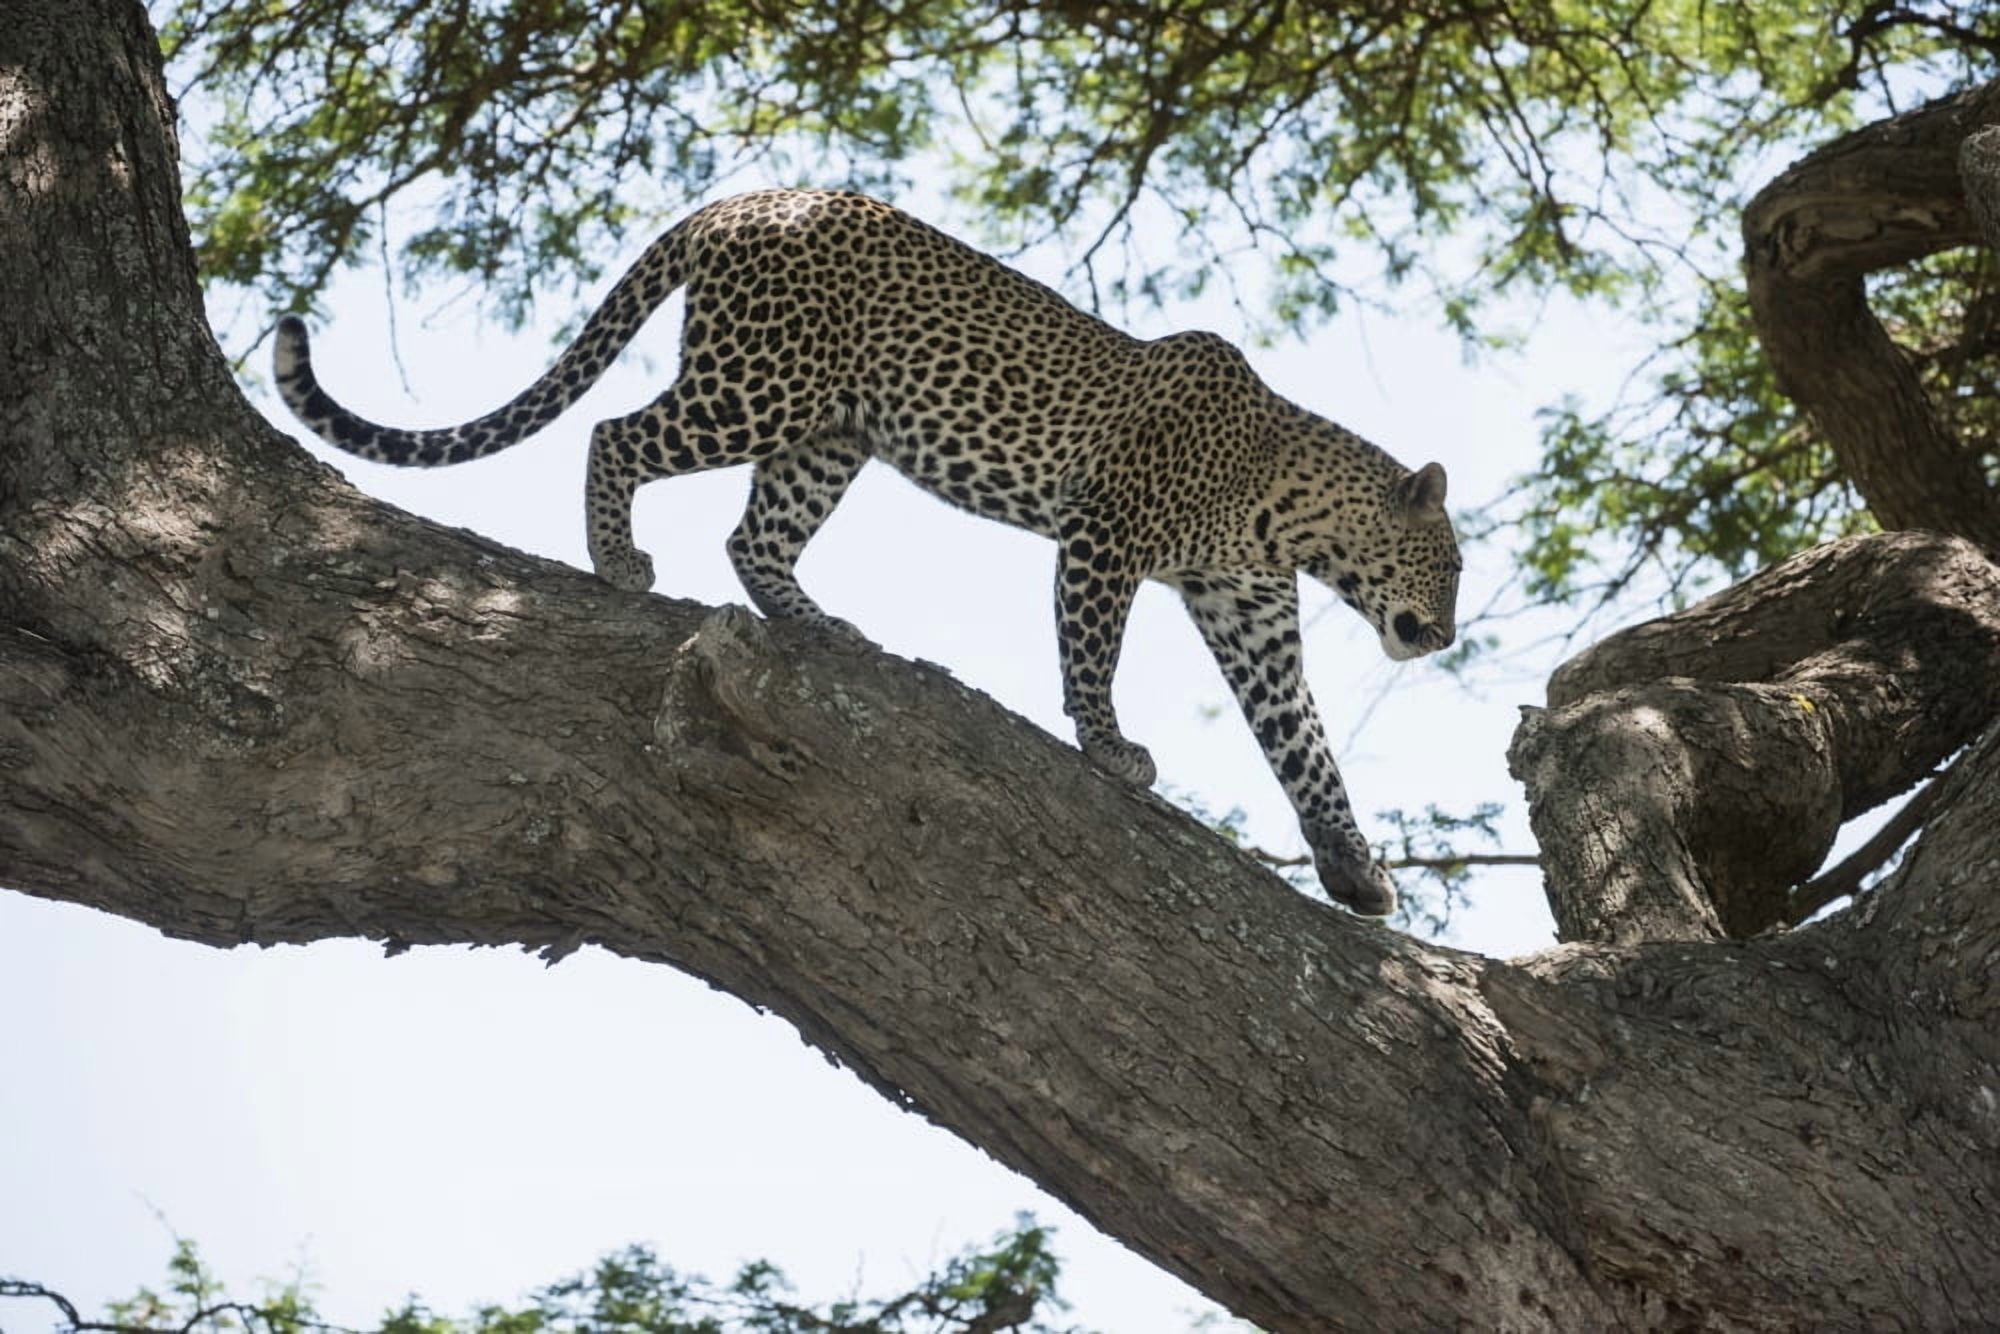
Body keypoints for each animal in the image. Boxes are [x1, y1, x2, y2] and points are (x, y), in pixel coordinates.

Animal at [273, 188, 1461, 916]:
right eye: (1448, 568)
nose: (1446, 638)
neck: (1286, 507)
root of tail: (746, 196)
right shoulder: (1105, 534)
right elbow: (1092, 654)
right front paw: (1108, 749)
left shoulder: (1247, 610)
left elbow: (1305, 746)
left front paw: (1356, 876)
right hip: (758, 386)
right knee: (615, 433)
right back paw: (618, 561)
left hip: (831, 432)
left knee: (753, 533)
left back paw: (819, 626)